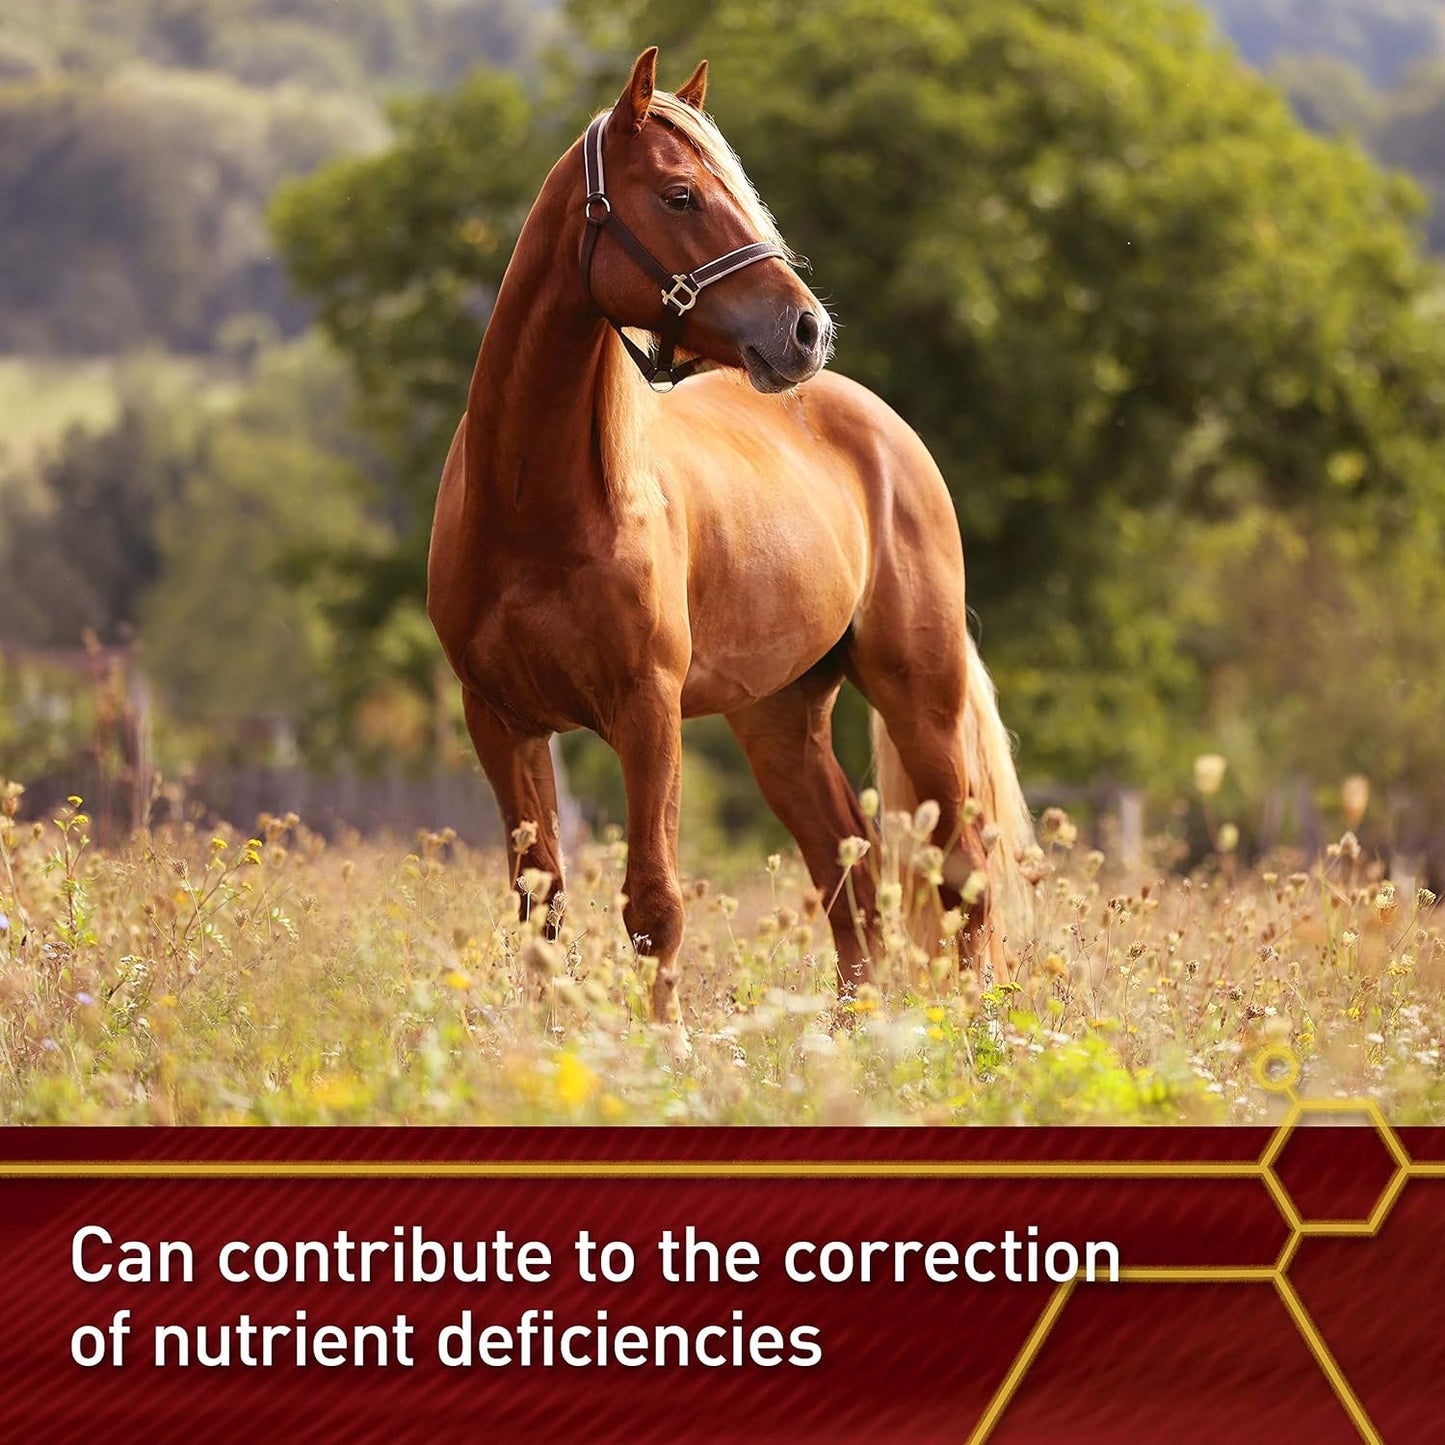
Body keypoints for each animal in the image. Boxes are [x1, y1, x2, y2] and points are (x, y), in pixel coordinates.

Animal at [428, 47, 1034, 1032]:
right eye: (679, 195)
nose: (806, 329)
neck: (533, 510)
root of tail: (885, 429)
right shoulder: (501, 721)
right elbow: (539, 902)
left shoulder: (646, 710)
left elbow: (653, 900)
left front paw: (664, 1047)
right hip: (780, 718)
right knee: (849, 871)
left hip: (921, 694)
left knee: (963, 866)